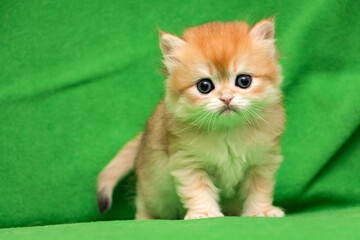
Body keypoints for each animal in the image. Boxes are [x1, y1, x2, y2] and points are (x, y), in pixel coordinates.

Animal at [97, 18, 286, 219]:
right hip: (154, 192)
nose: (226, 98)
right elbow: (198, 191)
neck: (227, 131)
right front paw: (205, 213)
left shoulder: (262, 162)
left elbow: (259, 190)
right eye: (204, 86)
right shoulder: (189, 164)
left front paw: (261, 211)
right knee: (143, 205)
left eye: (244, 81)